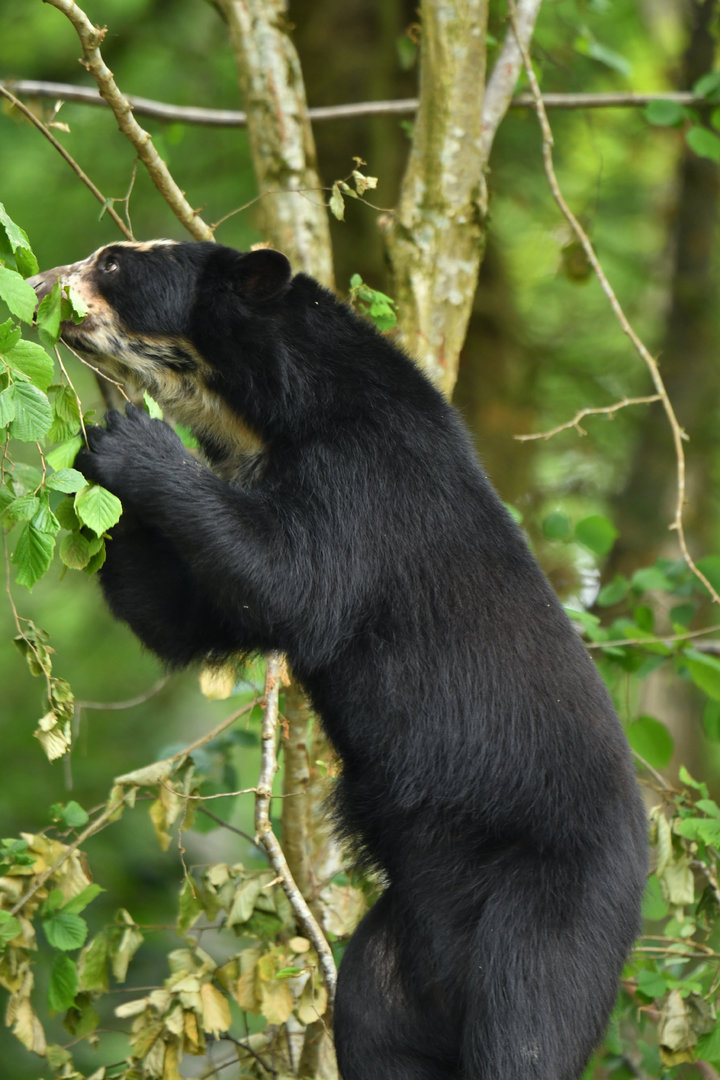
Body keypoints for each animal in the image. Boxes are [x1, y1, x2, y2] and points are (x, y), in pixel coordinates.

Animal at [30, 241, 647, 1080]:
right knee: (372, 1026)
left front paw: (133, 443)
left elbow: (290, 581)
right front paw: (90, 449)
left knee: (525, 1030)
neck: (264, 414)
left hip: (554, 910)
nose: (36, 284)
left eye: (116, 263)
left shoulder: (365, 476)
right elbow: (187, 615)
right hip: (391, 954)